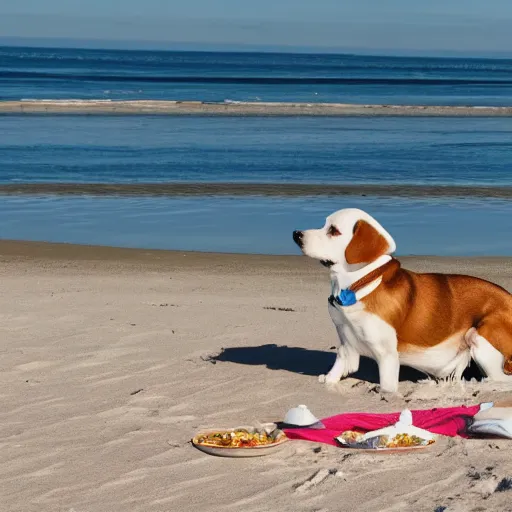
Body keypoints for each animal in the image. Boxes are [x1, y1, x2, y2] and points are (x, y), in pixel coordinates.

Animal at [294, 208, 512, 392]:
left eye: (333, 230)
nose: (296, 234)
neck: (359, 286)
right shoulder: (346, 345)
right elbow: (334, 372)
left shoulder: (387, 357)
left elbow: (387, 387)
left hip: (480, 336)